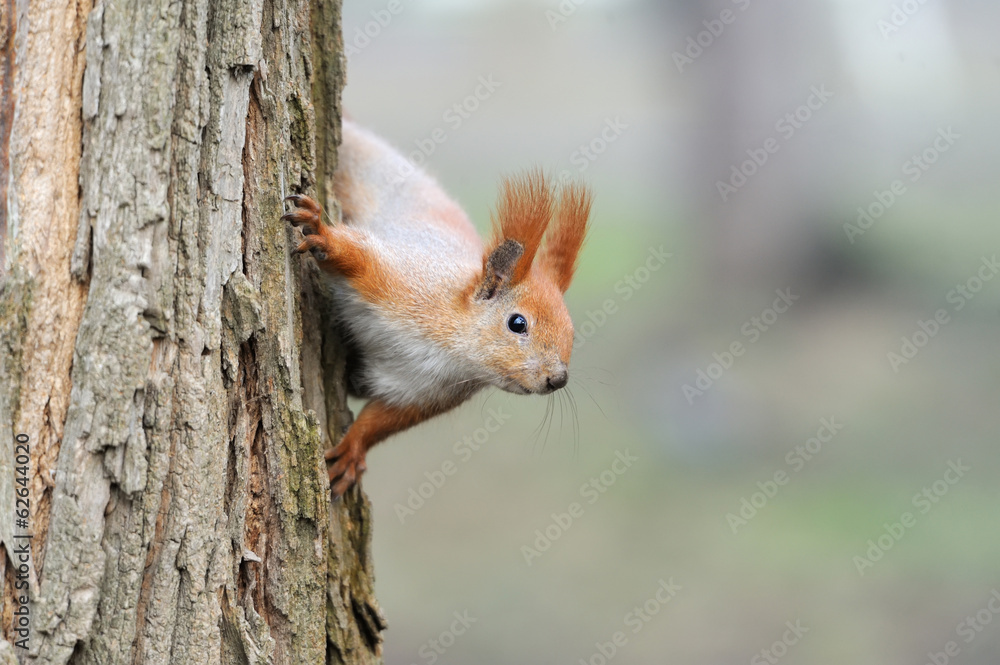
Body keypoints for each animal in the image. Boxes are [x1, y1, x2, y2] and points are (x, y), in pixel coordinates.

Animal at [283, 120, 592, 497]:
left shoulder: (421, 395)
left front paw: (353, 452)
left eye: (572, 332)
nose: (557, 379)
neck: (453, 352)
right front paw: (322, 233)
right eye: (518, 323)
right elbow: (360, 258)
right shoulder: (406, 280)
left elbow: (380, 421)